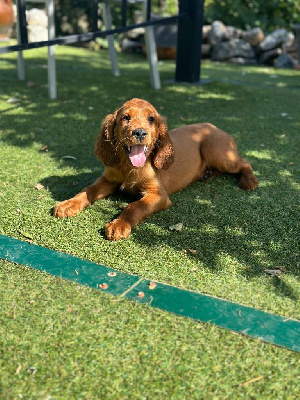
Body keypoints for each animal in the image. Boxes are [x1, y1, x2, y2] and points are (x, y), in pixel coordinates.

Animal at [55, 97, 258, 241]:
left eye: (151, 119)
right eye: (125, 118)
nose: (139, 132)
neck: (129, 167)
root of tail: (214, 126)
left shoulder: (159, 195)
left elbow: (134, 207)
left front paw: (119, 225)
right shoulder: (108, 180)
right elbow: (87, 190)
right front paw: (68, 204)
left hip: (216, 150)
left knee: (244, 162)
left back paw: (249, 181)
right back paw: (208, 174)